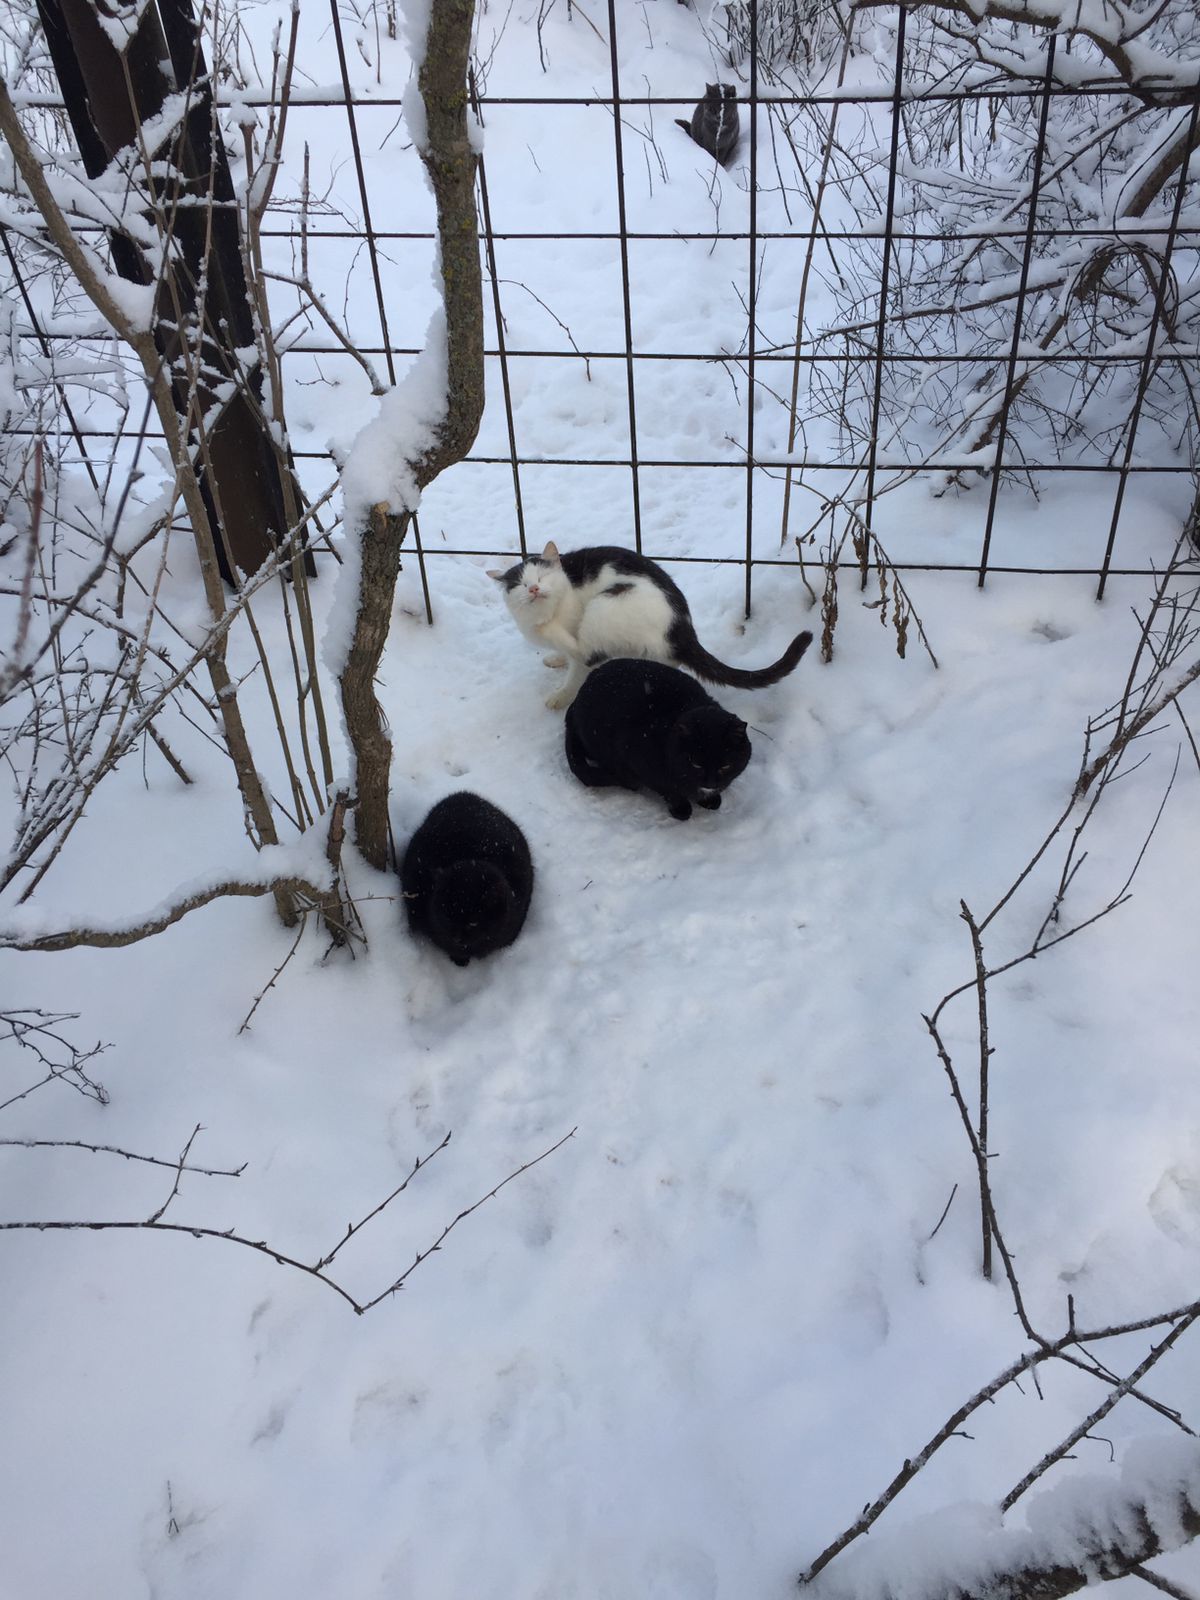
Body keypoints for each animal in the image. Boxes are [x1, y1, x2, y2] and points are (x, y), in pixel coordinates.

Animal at [489, 544, 819, 707]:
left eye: (541, 577)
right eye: (520, 585)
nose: (534, 589)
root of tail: (683, 632)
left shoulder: (575, 635)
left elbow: (576, 664)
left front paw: (561, 694)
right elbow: (565, 654)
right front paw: (556, 657)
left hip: (607, 603)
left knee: (588, 651)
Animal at [566, 656, 752, 819]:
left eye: (725, 766)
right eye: (696, 764)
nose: (711, 783)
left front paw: (710, 799)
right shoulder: (638, 760)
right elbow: (668, 789)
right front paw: (681, 808)